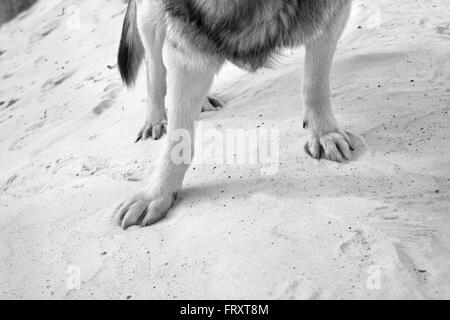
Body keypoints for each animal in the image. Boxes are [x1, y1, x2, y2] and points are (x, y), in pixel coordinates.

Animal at [115, 0, 356, 230]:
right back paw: (154, 119)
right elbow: (177, 137)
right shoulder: (187, 37)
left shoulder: (328, 14)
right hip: (152, 15)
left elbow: (314, 82)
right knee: (155, 67)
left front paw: (323, 133)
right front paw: (157, 194)